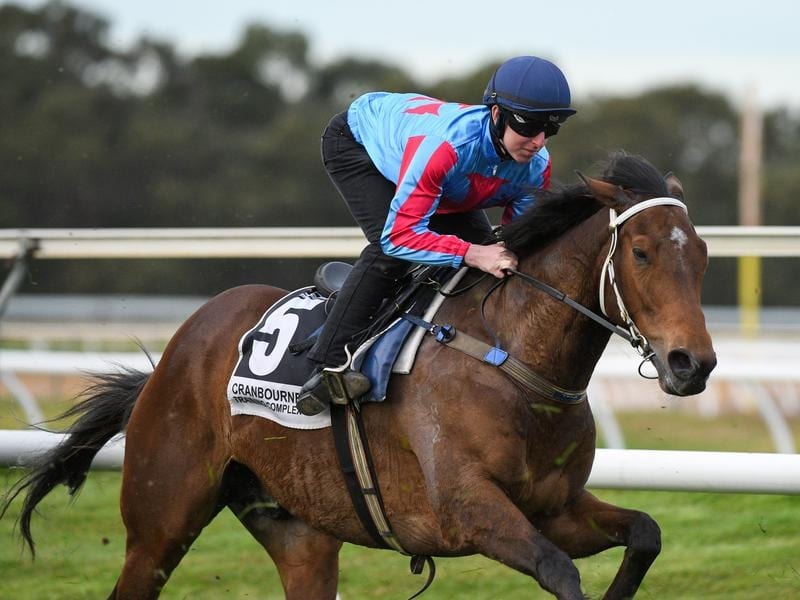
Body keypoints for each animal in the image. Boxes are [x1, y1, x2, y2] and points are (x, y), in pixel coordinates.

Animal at [3, 152, 720, 596]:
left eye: (704, 254)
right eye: (642, 252)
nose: (694, 364)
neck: (511, 360)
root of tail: (178, 349)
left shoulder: (555, 506)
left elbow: (646, 533)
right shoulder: (469, 510)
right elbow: (558, 570)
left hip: (298, 530)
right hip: (160, 518)